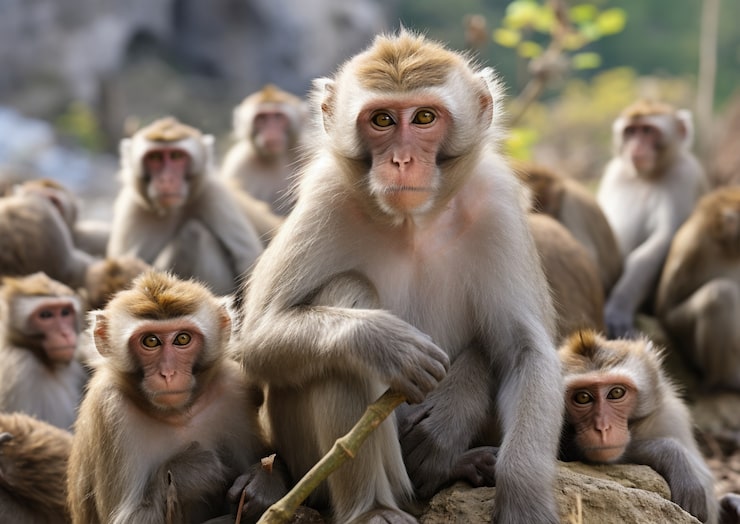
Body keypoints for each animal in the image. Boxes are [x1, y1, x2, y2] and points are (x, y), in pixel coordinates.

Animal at [67, 270, 286, 524]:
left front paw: (264, 483)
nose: (168, 373)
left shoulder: (232, 389)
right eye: (150, 341)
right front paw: (192, 470)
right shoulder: (110, 408)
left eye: (182, 339)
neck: (177, 415)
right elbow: (129, 518)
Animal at [107, 117, 263, 296]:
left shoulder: (214, 195)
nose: (166, 179)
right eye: (155, 157)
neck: (173, 209)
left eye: (176, 156)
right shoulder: (132, 208)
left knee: (195, 232)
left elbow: (246, 259)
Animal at [236, 30, 563, 524]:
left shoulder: (498, 206)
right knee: (344, 315)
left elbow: (524, 353)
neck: (412, 222)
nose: (403, 160)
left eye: (424, 117)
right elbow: (254, 344)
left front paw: (523, 499)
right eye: (382, 119)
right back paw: (372, 506)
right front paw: (382, 343)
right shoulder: (325, 200)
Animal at [596, 100, 709, 339]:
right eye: (631, 132)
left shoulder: (684, 175)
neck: (647, 175)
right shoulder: (614, 173)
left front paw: (618, 308)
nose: (636, 146)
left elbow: (664, 240)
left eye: (647, 130)